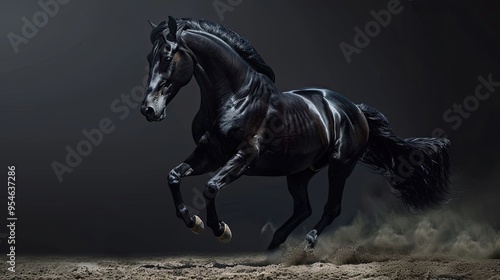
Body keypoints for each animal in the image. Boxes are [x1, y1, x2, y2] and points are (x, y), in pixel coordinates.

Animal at [140, 17, 450, 249]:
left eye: (166, 56)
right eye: (148, 57)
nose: (149, 109)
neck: (236, 97)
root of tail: (355, 110)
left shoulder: (243, 157)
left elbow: (211, 187)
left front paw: (220, 229)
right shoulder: (209, 155)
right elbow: (174, 176)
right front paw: (193, 222)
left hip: (340, 166)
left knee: (331, 209)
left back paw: (306, 244)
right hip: (300, 172)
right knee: (303, 209)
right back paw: (274, 248)